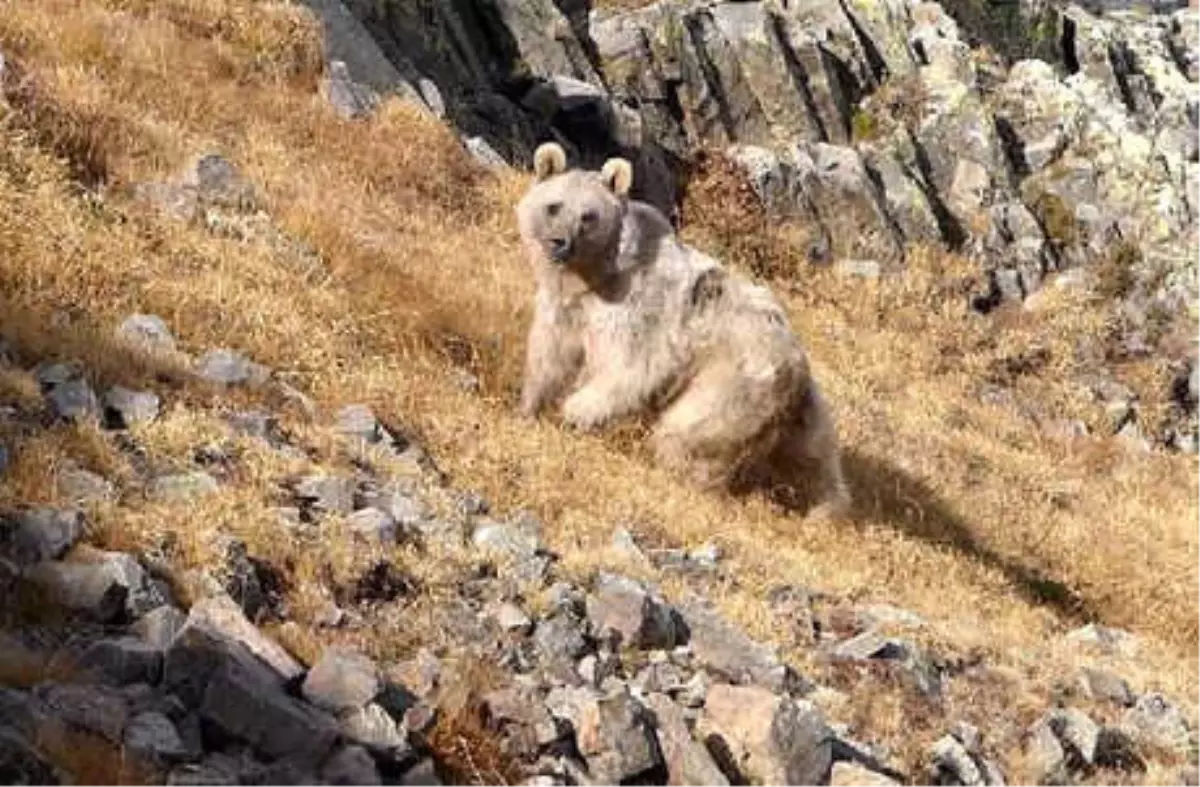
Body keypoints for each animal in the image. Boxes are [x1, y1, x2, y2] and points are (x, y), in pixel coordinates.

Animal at [516, 142, 854, 523]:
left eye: (588, 216)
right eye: (554, 206)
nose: (559, 242)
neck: (593, 279)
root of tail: (795, 367)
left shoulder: (635, 311)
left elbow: (629, 370)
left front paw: (575, 412)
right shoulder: (565, 309)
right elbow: (548, 357)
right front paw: (530, 406)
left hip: (730, 383)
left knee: (687, 431)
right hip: (801, 412)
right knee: (814, 461)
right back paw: (824, 508)